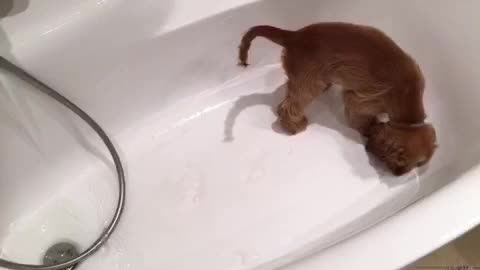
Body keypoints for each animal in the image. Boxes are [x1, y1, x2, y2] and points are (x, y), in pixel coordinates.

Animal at [238, 22, 436, 175]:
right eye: (396, 157)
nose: (396, 174)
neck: (408, 96)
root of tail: (295, 35)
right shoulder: (362, 101)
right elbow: (361, 119)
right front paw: (368, 128)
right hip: (308, 83)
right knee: (286, 106)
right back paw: (294, 126)